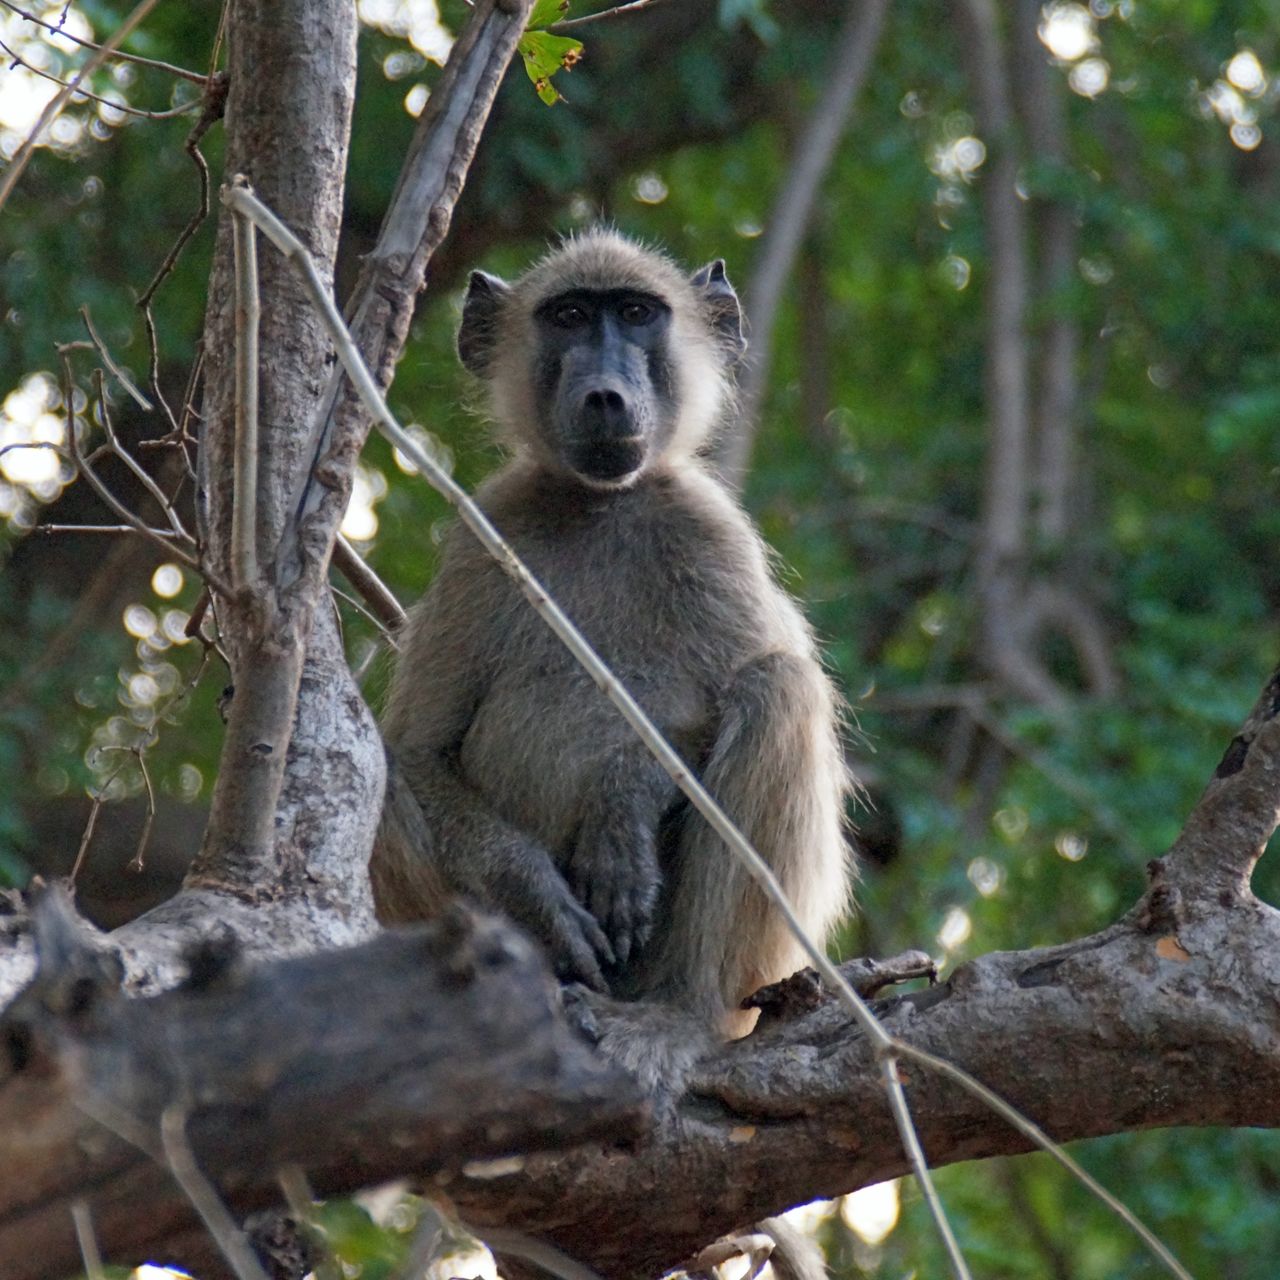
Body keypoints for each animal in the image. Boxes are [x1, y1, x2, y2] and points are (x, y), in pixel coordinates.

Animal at [374, 229, 852, 1057]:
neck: (598, 503)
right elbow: (417, 752)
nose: (605, 395)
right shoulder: (480, 539)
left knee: (779, 689)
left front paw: (624, 808)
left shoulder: (708, 531)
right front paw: (538, 893)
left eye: (634, 314)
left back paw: (679, 1014)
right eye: (568, 317)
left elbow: (719, 701)